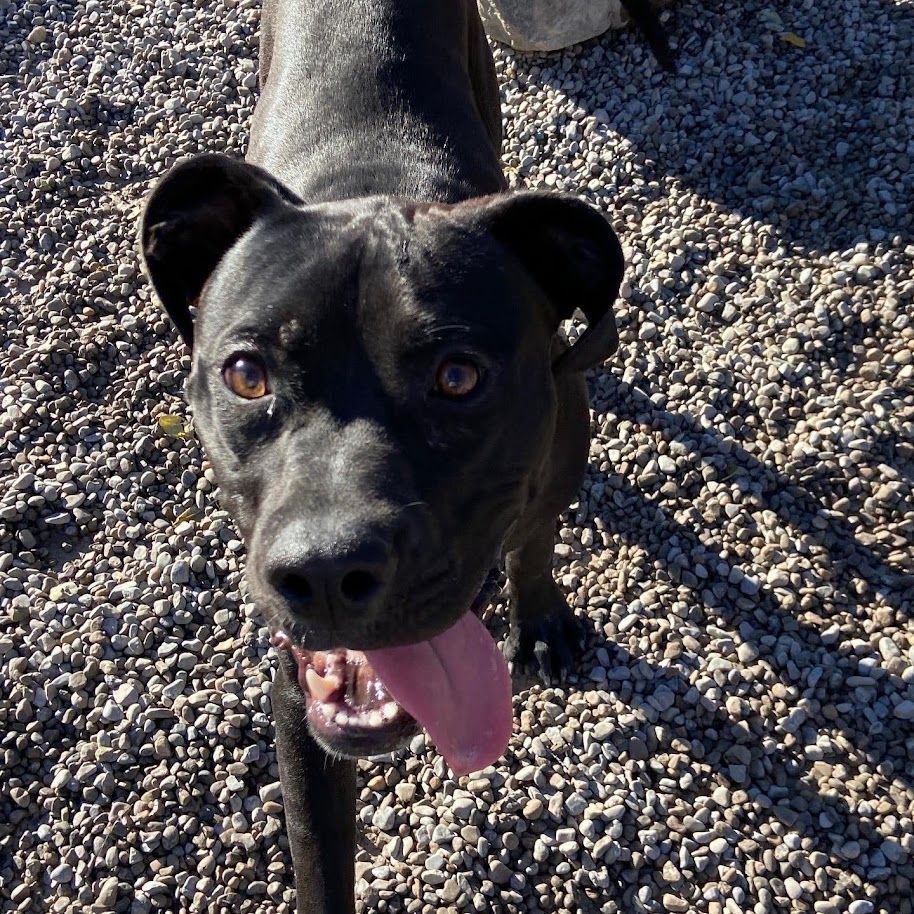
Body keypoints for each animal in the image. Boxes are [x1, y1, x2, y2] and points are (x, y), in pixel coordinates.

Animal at [141, 1, 628, 912]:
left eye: (458, 376)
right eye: (246, 374)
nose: (326, 573)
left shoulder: (558, 462)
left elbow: (535, 540)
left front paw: (540, 617)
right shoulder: (298, 700)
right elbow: (319, 858)